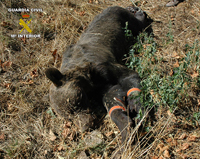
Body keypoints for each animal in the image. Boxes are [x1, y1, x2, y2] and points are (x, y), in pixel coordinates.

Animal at [45, 5, 152, 143]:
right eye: (68, 118)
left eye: (76, 102)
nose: (86, 127)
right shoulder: (103, 85)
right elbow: (111, 100)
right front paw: (126, 129)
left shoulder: (104, 66)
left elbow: (129, 78)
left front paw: (139, 112)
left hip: (128, 21)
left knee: (139, 23)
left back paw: (136, 10)